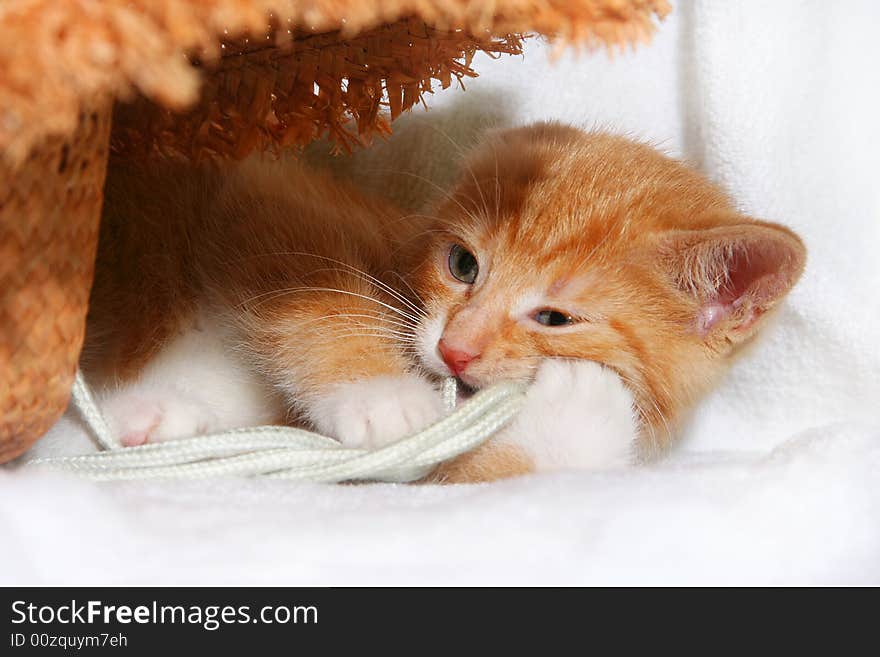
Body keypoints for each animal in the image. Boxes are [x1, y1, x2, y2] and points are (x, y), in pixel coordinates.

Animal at [82, 124, 804, 482]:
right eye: (463, 265)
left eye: (556, 318)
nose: (454, 349)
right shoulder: (267, 193)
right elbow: (314, 295)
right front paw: (385, 398)